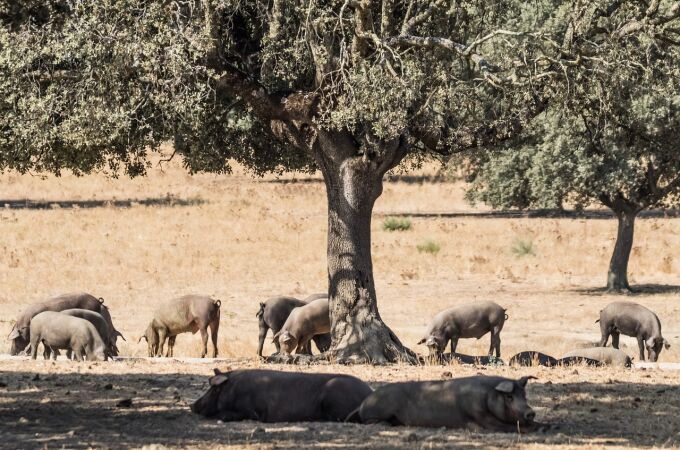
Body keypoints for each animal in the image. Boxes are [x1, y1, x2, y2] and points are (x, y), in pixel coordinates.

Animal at [348, 374, 540, 430]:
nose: (530, 412)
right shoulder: (480, 416)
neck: (487, 397)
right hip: (379, 409)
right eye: (509, 397)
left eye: (524, 395)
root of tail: (363, 403)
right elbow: (508, 427)